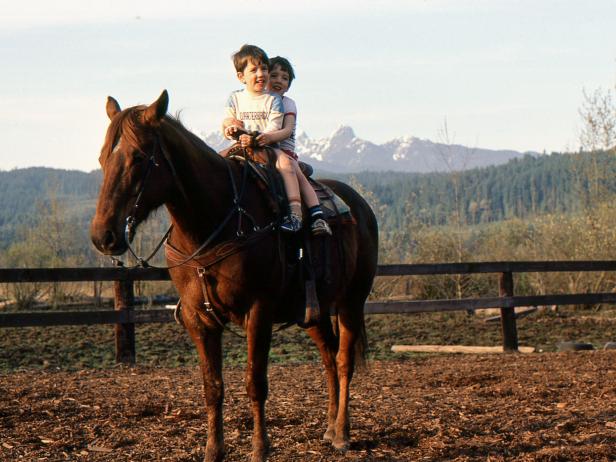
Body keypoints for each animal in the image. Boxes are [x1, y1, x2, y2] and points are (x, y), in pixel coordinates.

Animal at [89, 90, 378, 462]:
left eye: (138, 157)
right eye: (101, 157)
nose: (103, 236)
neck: (214, 225)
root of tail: (358, 205)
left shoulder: (259, 312)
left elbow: (255, 382)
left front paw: (260, 448)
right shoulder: (199, 319)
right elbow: (212, 386)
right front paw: (214, 450)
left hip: (352, 301)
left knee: (343, 361)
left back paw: (342, 433)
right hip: (313, 311)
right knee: (328, 358)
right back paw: (329, 429)